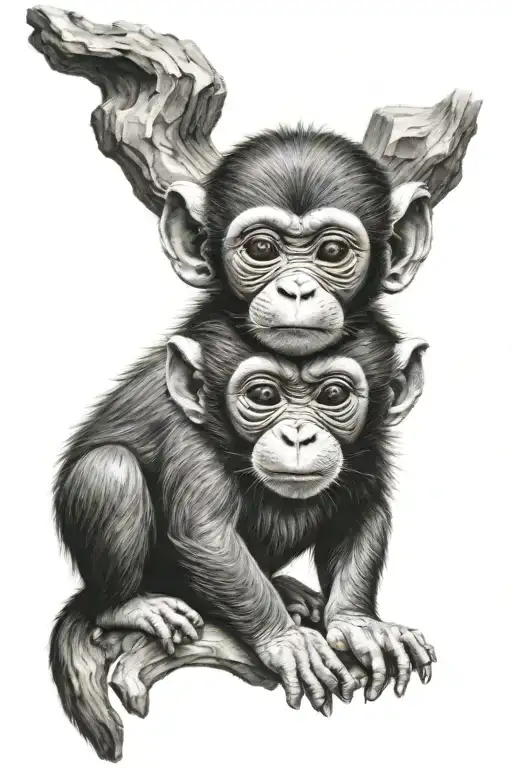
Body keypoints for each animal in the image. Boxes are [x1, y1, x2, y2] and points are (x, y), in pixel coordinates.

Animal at [51, 312, 435, 756]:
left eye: (334, 394)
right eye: (264, 394)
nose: (298, 435)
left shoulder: (373, 443)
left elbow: (361, 513)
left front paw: (361, 626)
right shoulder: (189, 439)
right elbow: (207, 535)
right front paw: (287, 642)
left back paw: (286, 589)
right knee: (109, 469)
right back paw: (128, 605)